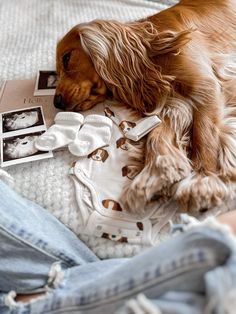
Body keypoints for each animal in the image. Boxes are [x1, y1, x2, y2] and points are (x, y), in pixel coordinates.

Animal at [54, 0, 236, 213]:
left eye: (67, 58)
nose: (56, 102)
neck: (152, 52)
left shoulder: (206, 86)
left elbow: (205, 135)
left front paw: (203, 181)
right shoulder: (173, 103)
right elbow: (156, 136)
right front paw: (154, 175)